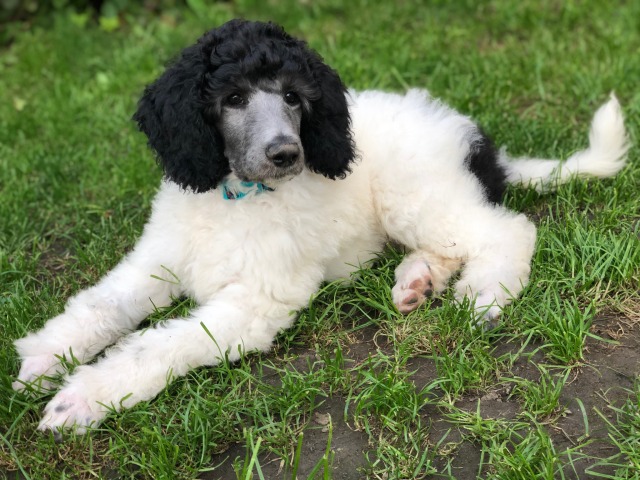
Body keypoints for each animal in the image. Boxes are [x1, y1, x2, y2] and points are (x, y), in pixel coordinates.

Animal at [12, 19, 628, 436]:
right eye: (232, 98)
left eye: (293, 97)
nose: (287, 153)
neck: (239, 196)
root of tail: (486, 151)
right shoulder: (158, 259)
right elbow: (103, 304)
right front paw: (46, 358)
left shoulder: (256, 303)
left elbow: (159, 345)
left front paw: (82, 398)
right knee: (455, 241)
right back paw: (418, 282)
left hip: (414, 191)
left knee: (508, 230)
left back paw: (483, 294)